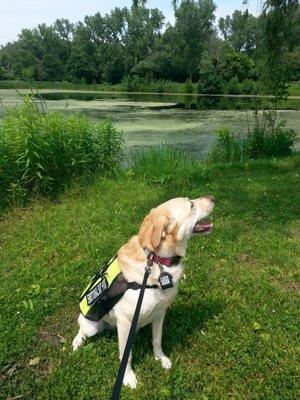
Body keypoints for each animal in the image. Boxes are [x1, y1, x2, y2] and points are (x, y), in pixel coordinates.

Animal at [72, 195, 214, 390]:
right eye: (191, 205)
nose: (213, 198)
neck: (158, 262)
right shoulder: (125, 324)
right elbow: (126, 356)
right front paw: (128, 378)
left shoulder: (160, 314)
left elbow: (157, 340)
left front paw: (161, 359)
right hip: (91, 326)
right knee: (81, 332)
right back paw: (76, 344)